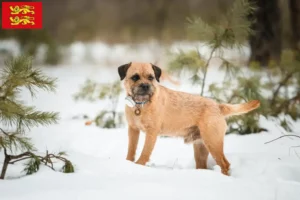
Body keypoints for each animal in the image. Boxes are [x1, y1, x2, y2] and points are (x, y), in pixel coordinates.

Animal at [117, 61, 260, 175]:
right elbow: (131, 149)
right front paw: (128, 163)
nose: (145, 86)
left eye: (151, 78)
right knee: (204, 166)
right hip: (201, 147)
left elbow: (145, 152)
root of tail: (218, 106)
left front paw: (138, 165)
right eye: (135, 77)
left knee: (225, 164)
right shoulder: (133, 130)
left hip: (213, 142)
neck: (140, 105)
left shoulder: (151, 132)